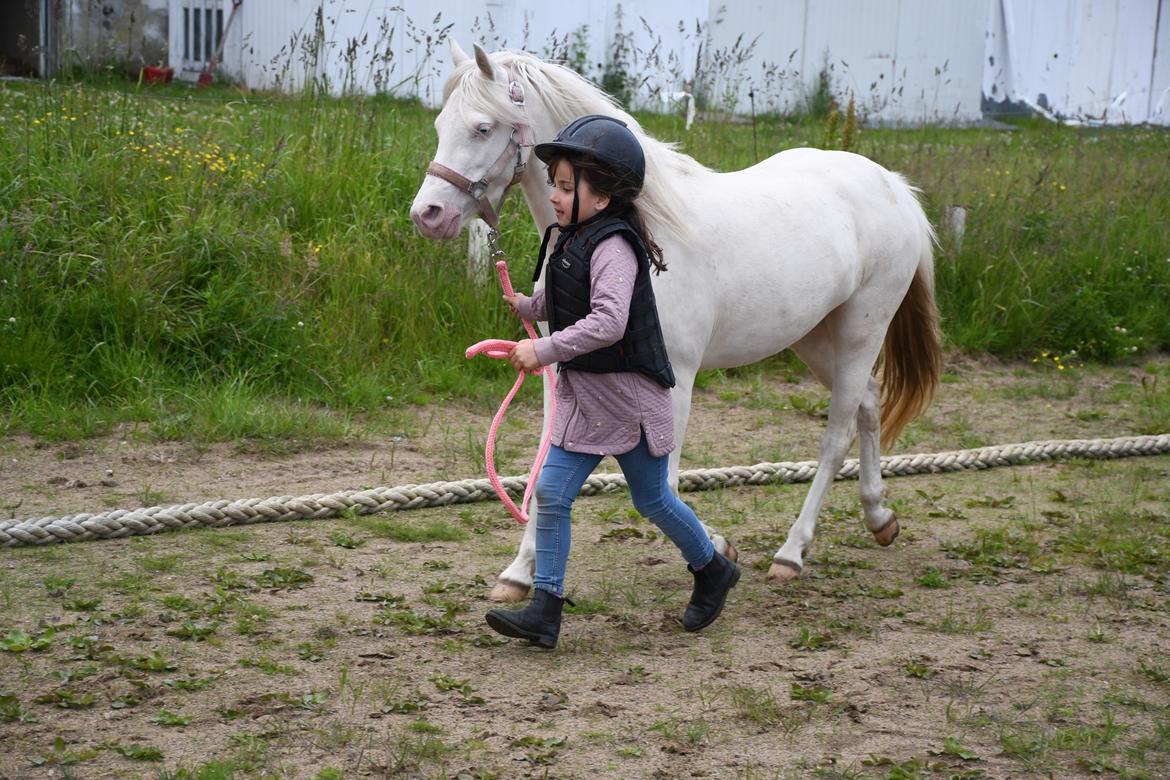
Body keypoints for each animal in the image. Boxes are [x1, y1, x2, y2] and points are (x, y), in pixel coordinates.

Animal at [411, 44, 940, 603]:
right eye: (441, 124)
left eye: (482, 127)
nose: (428, 214)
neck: (642, 230)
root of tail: (894, 187)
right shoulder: (565, 368)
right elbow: (549, 464)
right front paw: (518, 572)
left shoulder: (675, 381)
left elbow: (661, 483)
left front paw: (718, 550)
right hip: (815, 337)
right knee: (869, 403)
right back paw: (879, 517)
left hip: (863, 328)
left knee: (837, 434)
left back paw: (792, 553)